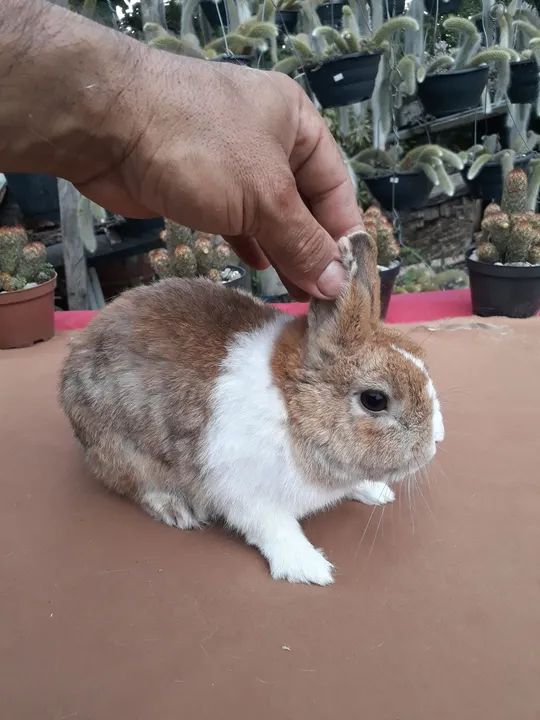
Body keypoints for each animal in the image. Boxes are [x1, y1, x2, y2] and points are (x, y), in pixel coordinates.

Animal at [59, 230, 444, 585]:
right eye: (374, 400)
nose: (436, 441)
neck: (292, 409)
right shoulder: (246, 493)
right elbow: (275, 528)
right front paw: (310, 568)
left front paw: (377, 492)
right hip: (122, 451)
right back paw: (178, 509)